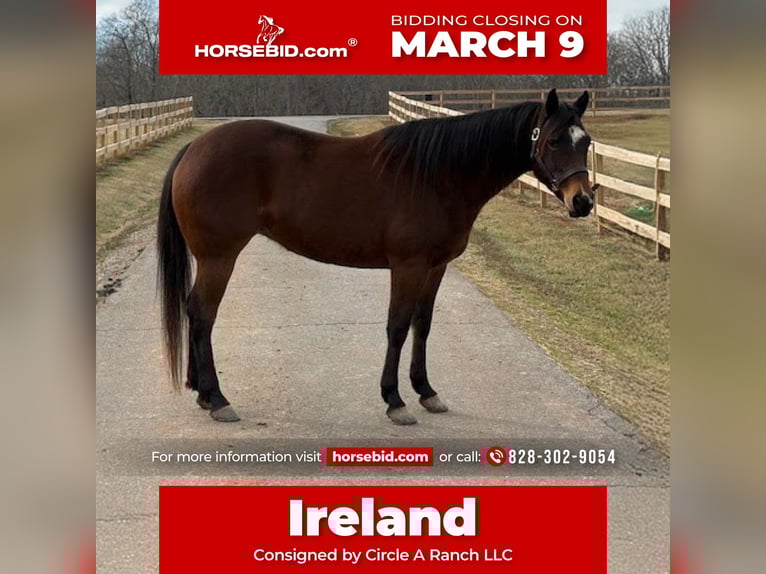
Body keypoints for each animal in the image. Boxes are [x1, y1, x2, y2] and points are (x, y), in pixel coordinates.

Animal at [157, 88, 596, 425]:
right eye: (553, 140)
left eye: (586, 142)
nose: (583, 202)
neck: (440, 175)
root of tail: (193, 148)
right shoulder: (407, 266)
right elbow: (397, 327)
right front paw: (395, 400)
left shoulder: (435, 267)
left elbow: (422, 325)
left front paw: (426, 391)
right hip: (219, 258)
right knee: (202, 314)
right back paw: (217, 399)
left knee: (195, 312)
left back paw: (202, 392)